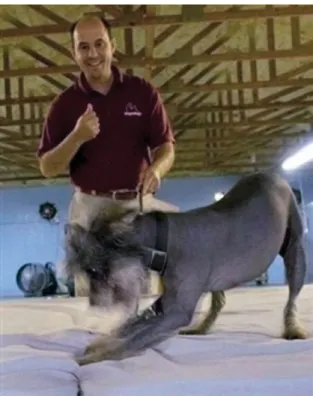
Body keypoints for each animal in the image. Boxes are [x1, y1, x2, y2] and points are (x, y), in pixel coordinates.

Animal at [64, 173, 308, 366]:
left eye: (94, 271)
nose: (93, 304)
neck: (162, 240)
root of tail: (271, 175)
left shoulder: (177, 312)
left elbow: (135, 339)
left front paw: (97, 356)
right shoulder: (165, 305)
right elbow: (128, 327)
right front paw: (99, 343)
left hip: (295, 251)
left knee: (292, 298)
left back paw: (293, 329)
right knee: (219, 301)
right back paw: (201, 328)